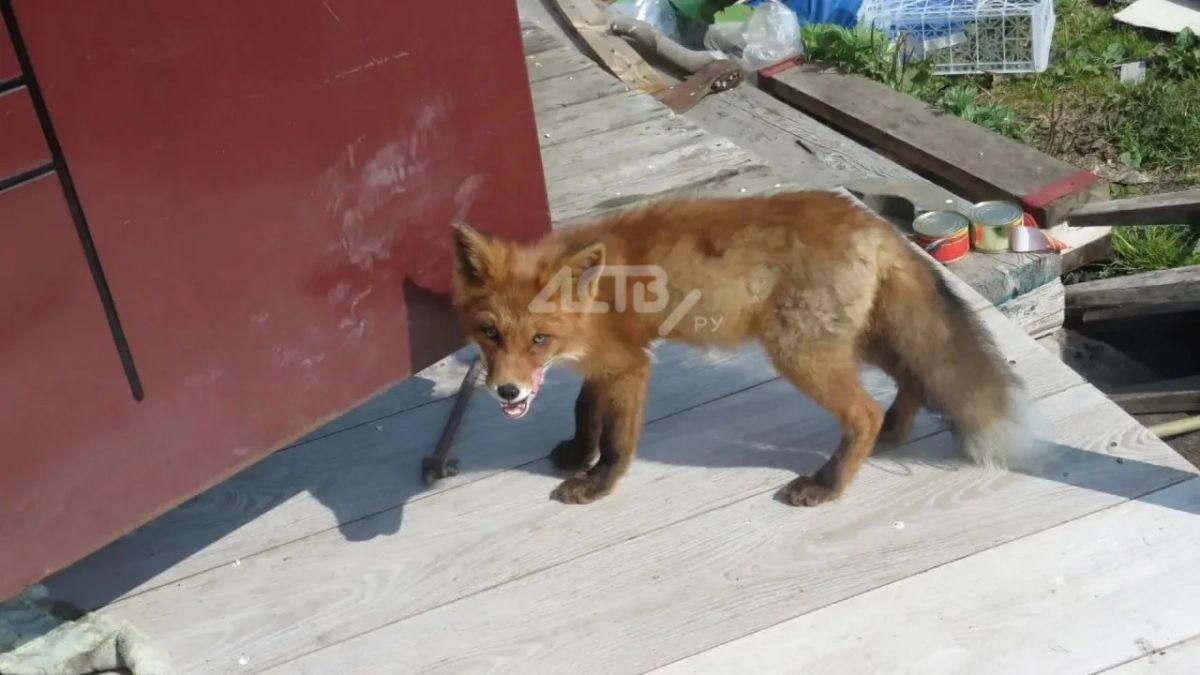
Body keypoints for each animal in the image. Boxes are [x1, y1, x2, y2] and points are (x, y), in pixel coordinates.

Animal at [448, 190, 1038, 507]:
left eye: (538, 339)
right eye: (490, 335)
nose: (506, 391)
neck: (596, 297)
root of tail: (871, 224)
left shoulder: (630, 365)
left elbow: (615, 440)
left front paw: (597, 483)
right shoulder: (603, 364)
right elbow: (583, 412)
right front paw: (577, 453)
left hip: (800, 352)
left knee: (863, 413)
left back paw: (829, 484)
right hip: (858, 338)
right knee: (912, 377)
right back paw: (892, 434)